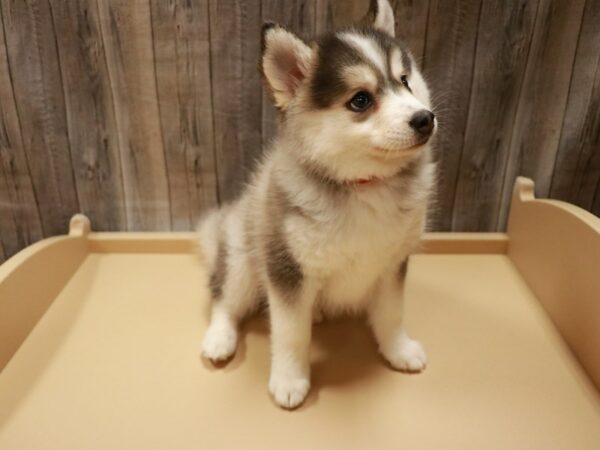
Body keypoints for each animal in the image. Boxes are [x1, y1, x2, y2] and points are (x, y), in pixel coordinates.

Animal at [199, 0, 438, 410]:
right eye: (361, 100)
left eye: (405, 80)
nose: (424, 118)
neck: (365, 187)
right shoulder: (287, 270)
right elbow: (291, 333)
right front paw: (289, 380)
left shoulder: (393, 262)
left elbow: (391, 313)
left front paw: (398, 350)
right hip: (243, 261)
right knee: (224, 299)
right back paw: (219, 339)